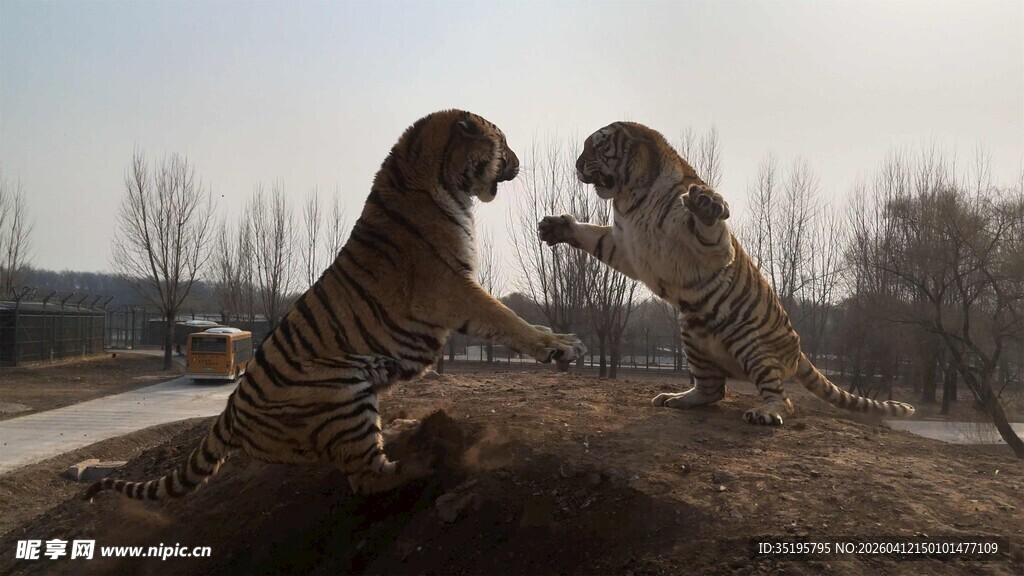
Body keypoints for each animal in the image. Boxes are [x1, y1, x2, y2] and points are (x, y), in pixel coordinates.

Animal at [86, 109, 586, 501]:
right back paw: (426, 460)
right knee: (366, 478)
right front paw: (560, 346)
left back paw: (404, 433)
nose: (518, 163)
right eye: (502, 142)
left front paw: (560, 338)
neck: (437, 178)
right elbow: (507, 318)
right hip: (343, 393)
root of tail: (230, 411)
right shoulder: (452, 287)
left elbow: (508, 320)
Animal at [538, 121, 914, 425]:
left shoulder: (712, 247)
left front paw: (706, 205)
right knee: (712, 390)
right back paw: (678, 398)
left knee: (783, 399)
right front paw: (557, 227)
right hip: (691, 333)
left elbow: (709, 227)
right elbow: (593, 236)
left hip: (752, 344)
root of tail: (797, 349)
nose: (577, 164)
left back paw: (765, 414)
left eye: (598, 146)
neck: (630, 198)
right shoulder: (626, 247)